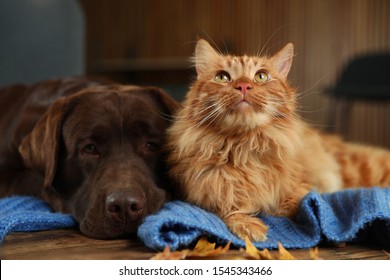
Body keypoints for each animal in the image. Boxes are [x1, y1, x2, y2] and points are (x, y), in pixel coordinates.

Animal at [166, 38, 390, 241]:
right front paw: (249, 225)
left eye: (261, 76)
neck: (243, 148)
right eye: (222, 77)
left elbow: (291, 204)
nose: (244, 86)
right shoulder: (202, 192)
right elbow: (227, 208)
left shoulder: (306, 185)